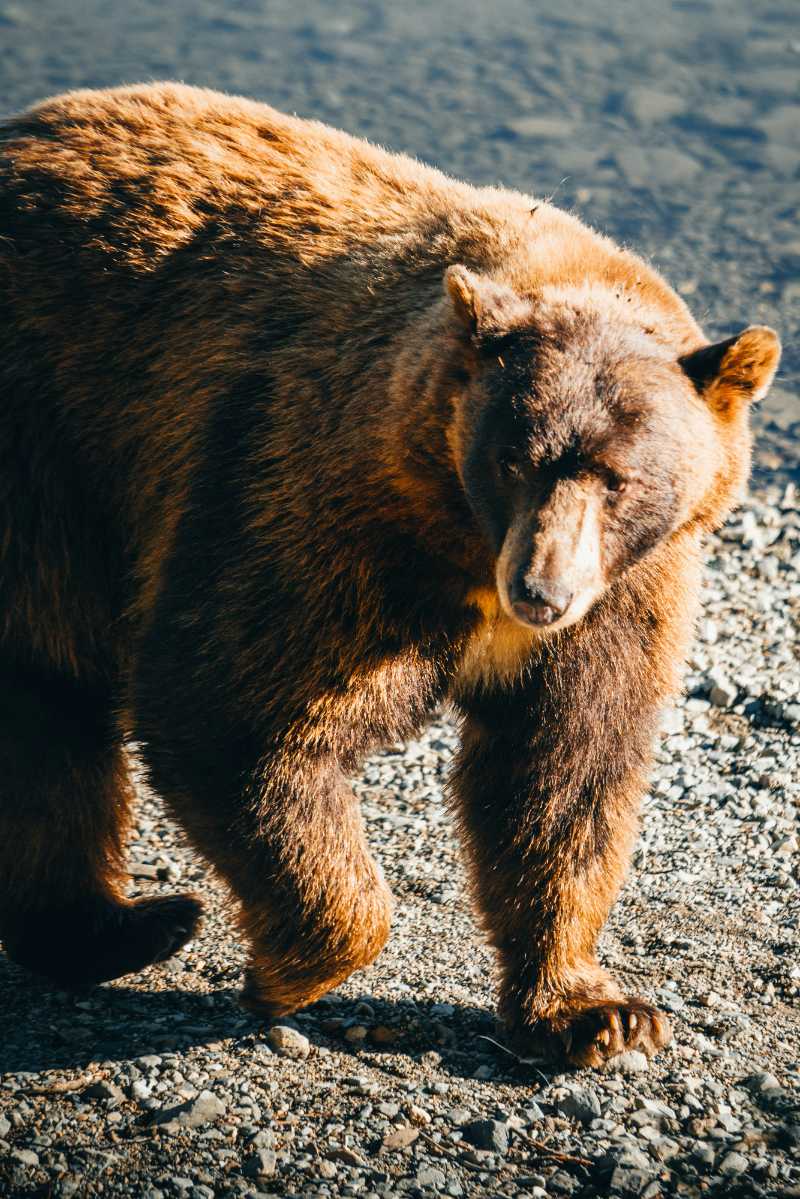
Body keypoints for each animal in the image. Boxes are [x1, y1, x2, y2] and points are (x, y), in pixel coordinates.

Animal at [0, 82, 777, 1069]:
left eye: (619, 477)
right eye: (514, 458)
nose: (540, 591)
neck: (465, 543)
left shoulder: (626, 592)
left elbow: (562, 771)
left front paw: (594, 1010)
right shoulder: (316, 499)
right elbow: (238, 708)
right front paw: (291, 968)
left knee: (47, 711)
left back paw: (116, 927)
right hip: (50, 453)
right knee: (55, 685)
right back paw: (148, 919)